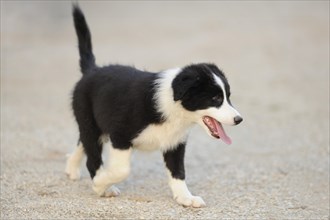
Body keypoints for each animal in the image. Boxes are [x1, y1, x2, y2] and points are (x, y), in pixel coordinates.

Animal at [66, 5, 242, 208]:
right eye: (215, 98)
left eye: (228, 97)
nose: (239, 119)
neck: (174, 107)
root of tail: (91, 70)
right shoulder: (120, 135)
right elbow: (121, 169)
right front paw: (100, 183)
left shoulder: (175, 142)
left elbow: (178, 172)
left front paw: (186, 197)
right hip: (89, 122)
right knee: (91, 154)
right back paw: (100, 183)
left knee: (82, 142)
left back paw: (71, 168)